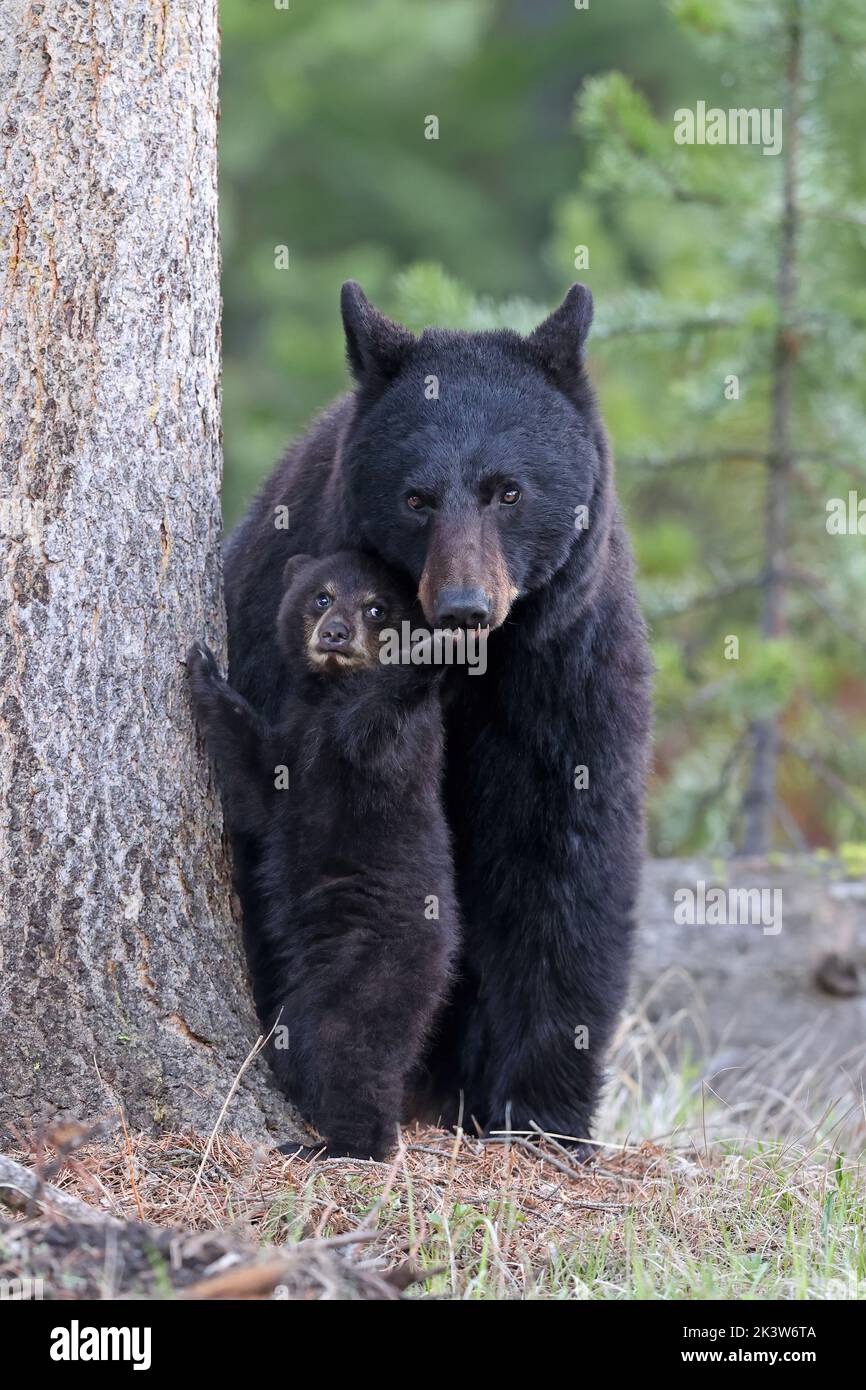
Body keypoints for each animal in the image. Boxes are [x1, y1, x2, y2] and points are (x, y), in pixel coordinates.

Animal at [189, 547, 461, 1156]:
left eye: (377, 607)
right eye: (321, 596)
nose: (335, 632)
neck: (327, 696)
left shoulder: (364, 757)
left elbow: (273, 775)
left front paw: (205, 672)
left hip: (370, 972)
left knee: (347, 1049)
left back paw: (334, 1144)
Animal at [223, 279, 650, 1150]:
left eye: (509, 490)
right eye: (416, 498)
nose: (463, 605)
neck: (467, 669)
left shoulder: (568, 668)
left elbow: (567, 848)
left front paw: (544, 1114)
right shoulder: (281, 657)